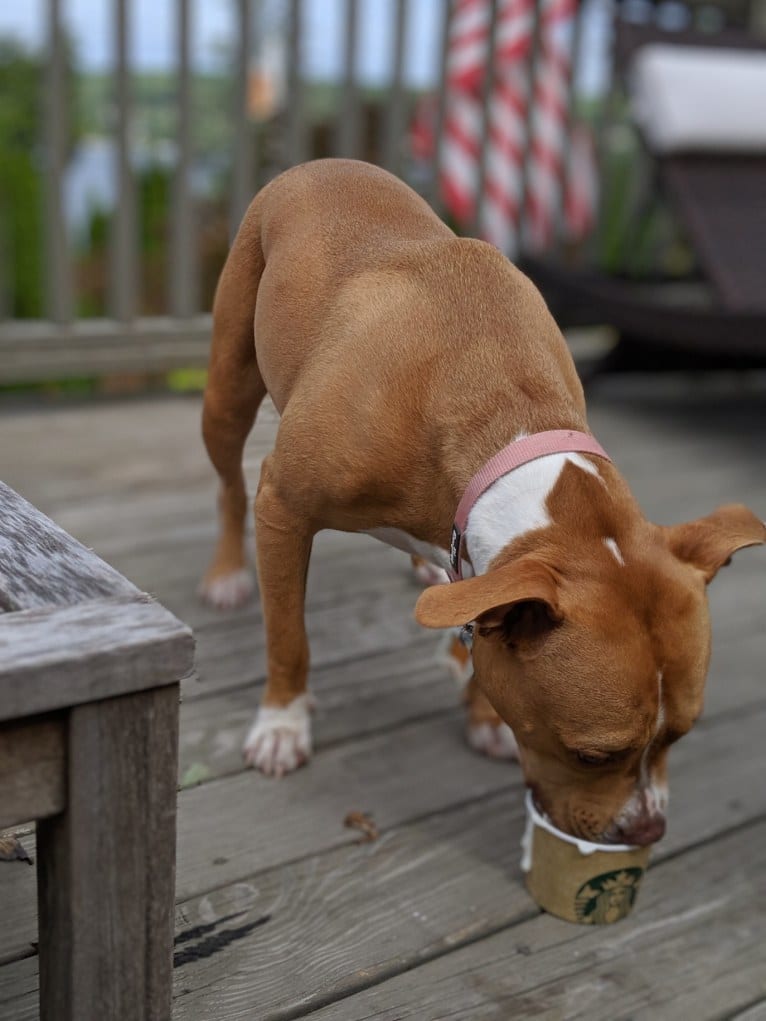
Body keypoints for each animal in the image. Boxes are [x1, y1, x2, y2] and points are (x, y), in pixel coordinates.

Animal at [201, 159, 763, 845]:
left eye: (681, 734)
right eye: (591, 755)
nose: (649, 831)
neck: (506, 417)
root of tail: (322, 164)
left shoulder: (474, 551)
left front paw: (484, 716)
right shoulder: (284, 507)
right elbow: (288, 634)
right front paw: (283, 723)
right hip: (227, 392)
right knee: (230, 485)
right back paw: (227, 575)